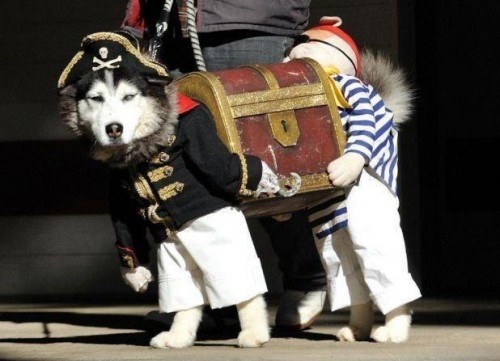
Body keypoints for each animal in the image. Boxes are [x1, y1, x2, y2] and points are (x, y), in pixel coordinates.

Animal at [58, 32, 280, 348]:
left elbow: (222, 167)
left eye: (129, 97)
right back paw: (178, 337)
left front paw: (264, 178)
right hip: (174, 255)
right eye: (96, 98)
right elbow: (126, 223)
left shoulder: (199, 134)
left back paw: (254, 333)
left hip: (221, 239)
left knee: (239, 282)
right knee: (187, 294)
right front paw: (134, 272)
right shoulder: (118, 189)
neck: (141, 148)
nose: (114, 129)